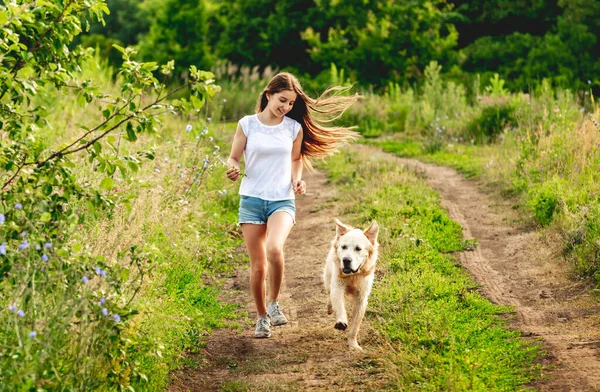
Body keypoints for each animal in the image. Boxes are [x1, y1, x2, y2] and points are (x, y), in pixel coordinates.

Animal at [324, 219, 380, 350]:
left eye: (358, 249)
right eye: (343, 247)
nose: (346, 260)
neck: (353, 276)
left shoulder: (361, 298)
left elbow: (355, 327)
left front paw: (354, 345)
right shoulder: (338, 287)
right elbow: (340, 306)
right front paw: (341, 322)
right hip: (328, 279)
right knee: (329, 294)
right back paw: (330, 307)